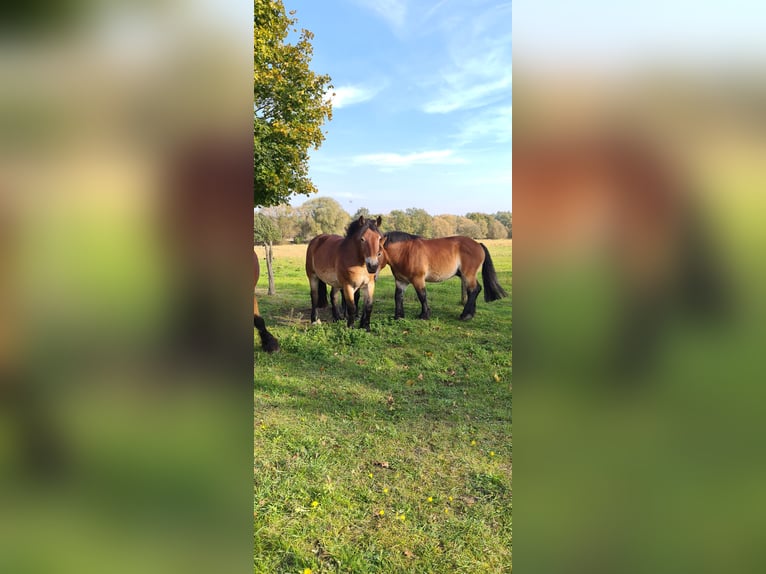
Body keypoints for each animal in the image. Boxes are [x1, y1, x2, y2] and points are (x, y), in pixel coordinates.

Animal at [380, 234, 508, 324]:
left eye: (379, 253)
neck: (404, 251)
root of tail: (478, 244)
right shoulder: (401, 281)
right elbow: (398, 297)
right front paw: (398, 316)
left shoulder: (418, 279)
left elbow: (422, 296)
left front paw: (424, 315)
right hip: (465, 275)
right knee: (475, 290)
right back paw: (471, 313)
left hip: (468, 275)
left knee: (473, 290)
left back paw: (465, 315)